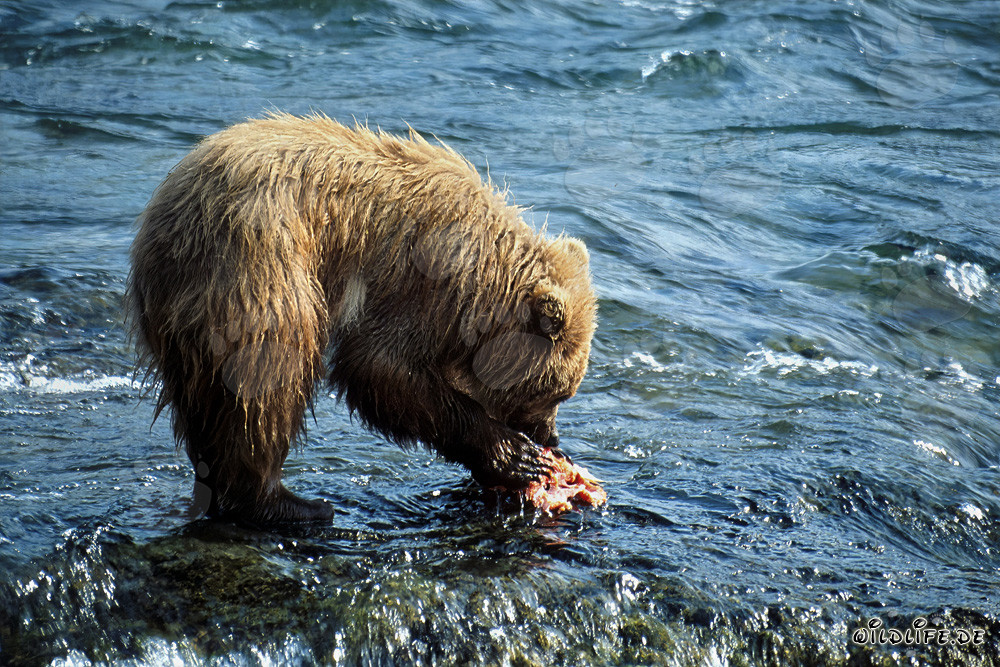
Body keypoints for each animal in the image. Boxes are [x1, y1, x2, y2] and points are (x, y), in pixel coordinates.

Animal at [126, 112, 597, 526]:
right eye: (554, 392)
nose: (552, 439)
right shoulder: (424, 280)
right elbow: (378, 366)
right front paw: (516, 457)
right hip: (255, 269)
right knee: (270, 375)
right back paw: (290, 504)